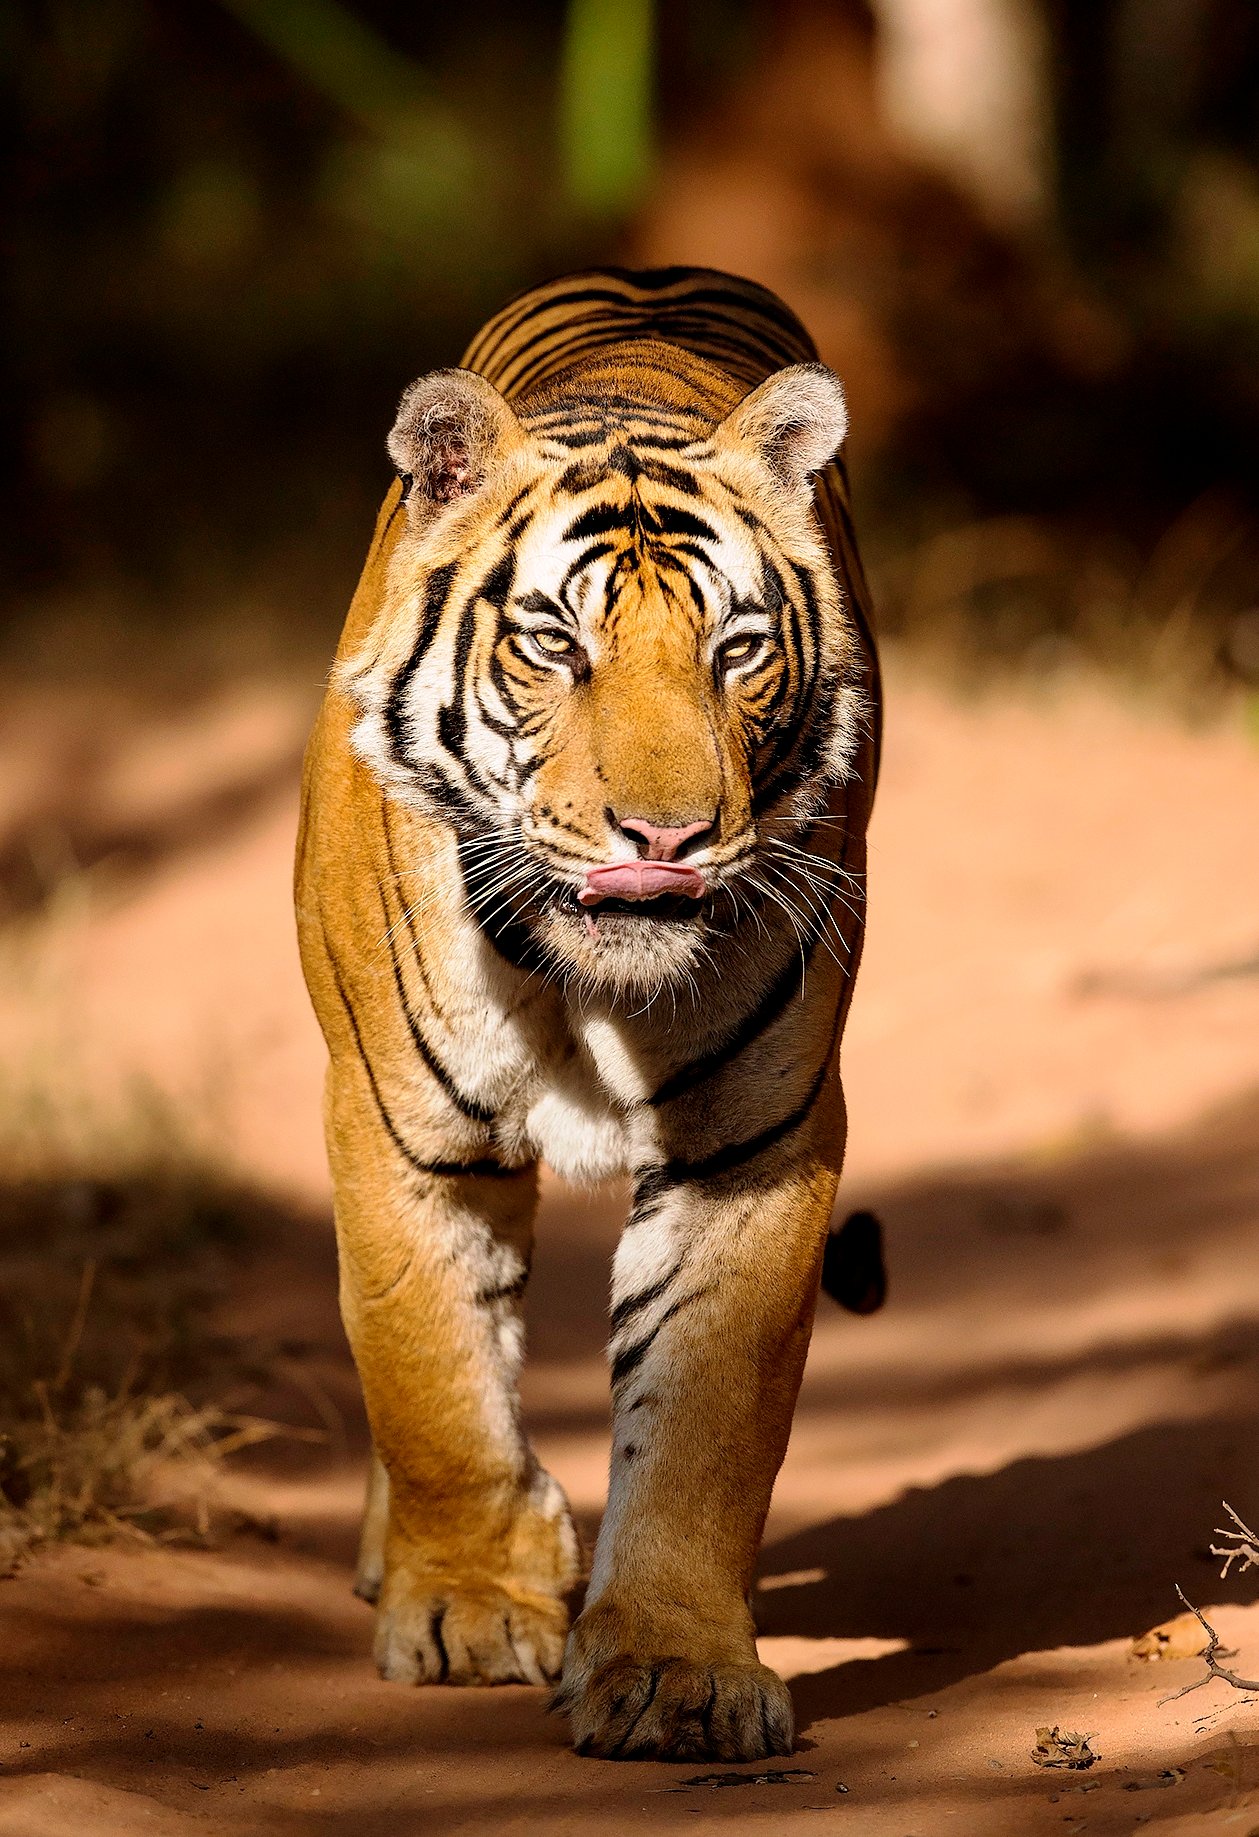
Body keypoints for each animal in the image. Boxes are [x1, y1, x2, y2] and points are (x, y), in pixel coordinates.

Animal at [294, 264, 881, 1763]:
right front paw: (466, 1609)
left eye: (736, 650)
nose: (664, 837)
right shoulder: (399, 1128)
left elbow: (707, 1421)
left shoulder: (752, 1145)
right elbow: (428, 1372)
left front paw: (674, 1670)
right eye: (552, 643)